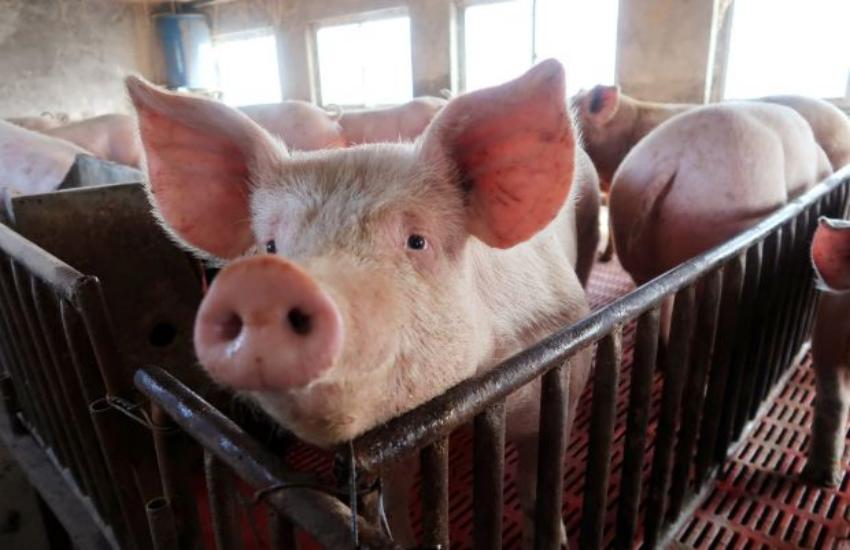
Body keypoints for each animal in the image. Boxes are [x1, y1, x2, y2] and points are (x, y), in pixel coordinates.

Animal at [127, 59, 596, 548]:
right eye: (270, 246)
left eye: (417, 241)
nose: (264, 282)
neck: (472, 389)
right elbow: (394, 504)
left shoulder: (567, 369)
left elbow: (539, 483)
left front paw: (558, 539)